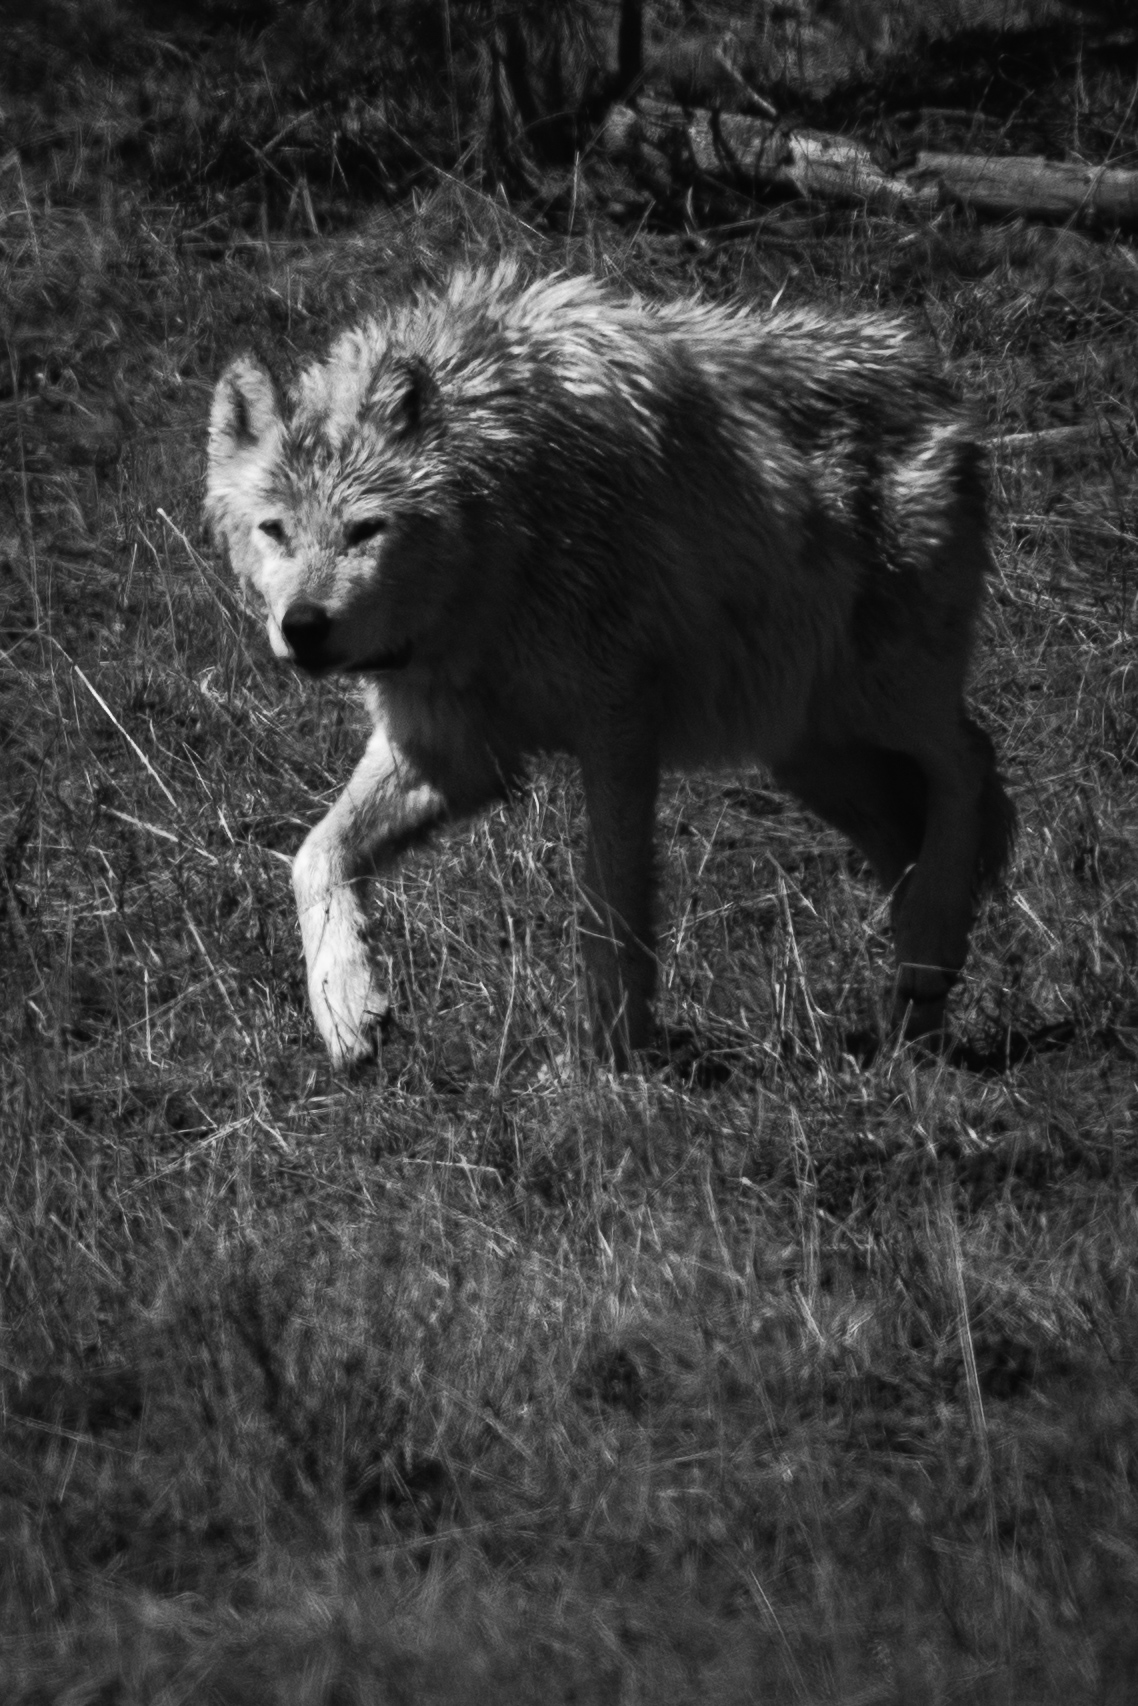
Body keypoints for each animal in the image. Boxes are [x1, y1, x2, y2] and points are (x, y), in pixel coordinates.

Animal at [205, 260, 1013, 1069]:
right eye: (274, 531)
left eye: (364, 530)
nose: (302, 627)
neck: (500, 533)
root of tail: (931, 374)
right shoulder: (448, 752)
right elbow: (314, 857)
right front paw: (346, 1008)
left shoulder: (617, 729)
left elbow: (610, 900)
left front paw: (607, 1057)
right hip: (805, 749)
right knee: (910, 834)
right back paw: (917, 1012)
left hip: (874, 697)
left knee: (971, 760)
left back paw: (930, 949)